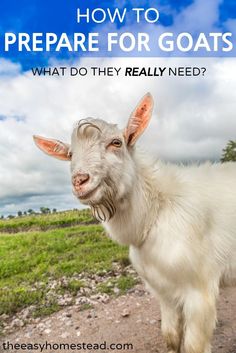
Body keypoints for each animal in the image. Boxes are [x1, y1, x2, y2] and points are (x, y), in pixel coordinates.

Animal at [33, 93, 236, 352]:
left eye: (116, 143)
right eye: (70, 154)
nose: (80, 181)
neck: (156, 210)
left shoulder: (200, 291)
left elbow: (193, 346)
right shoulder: (163, 291)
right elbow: (171, 336)